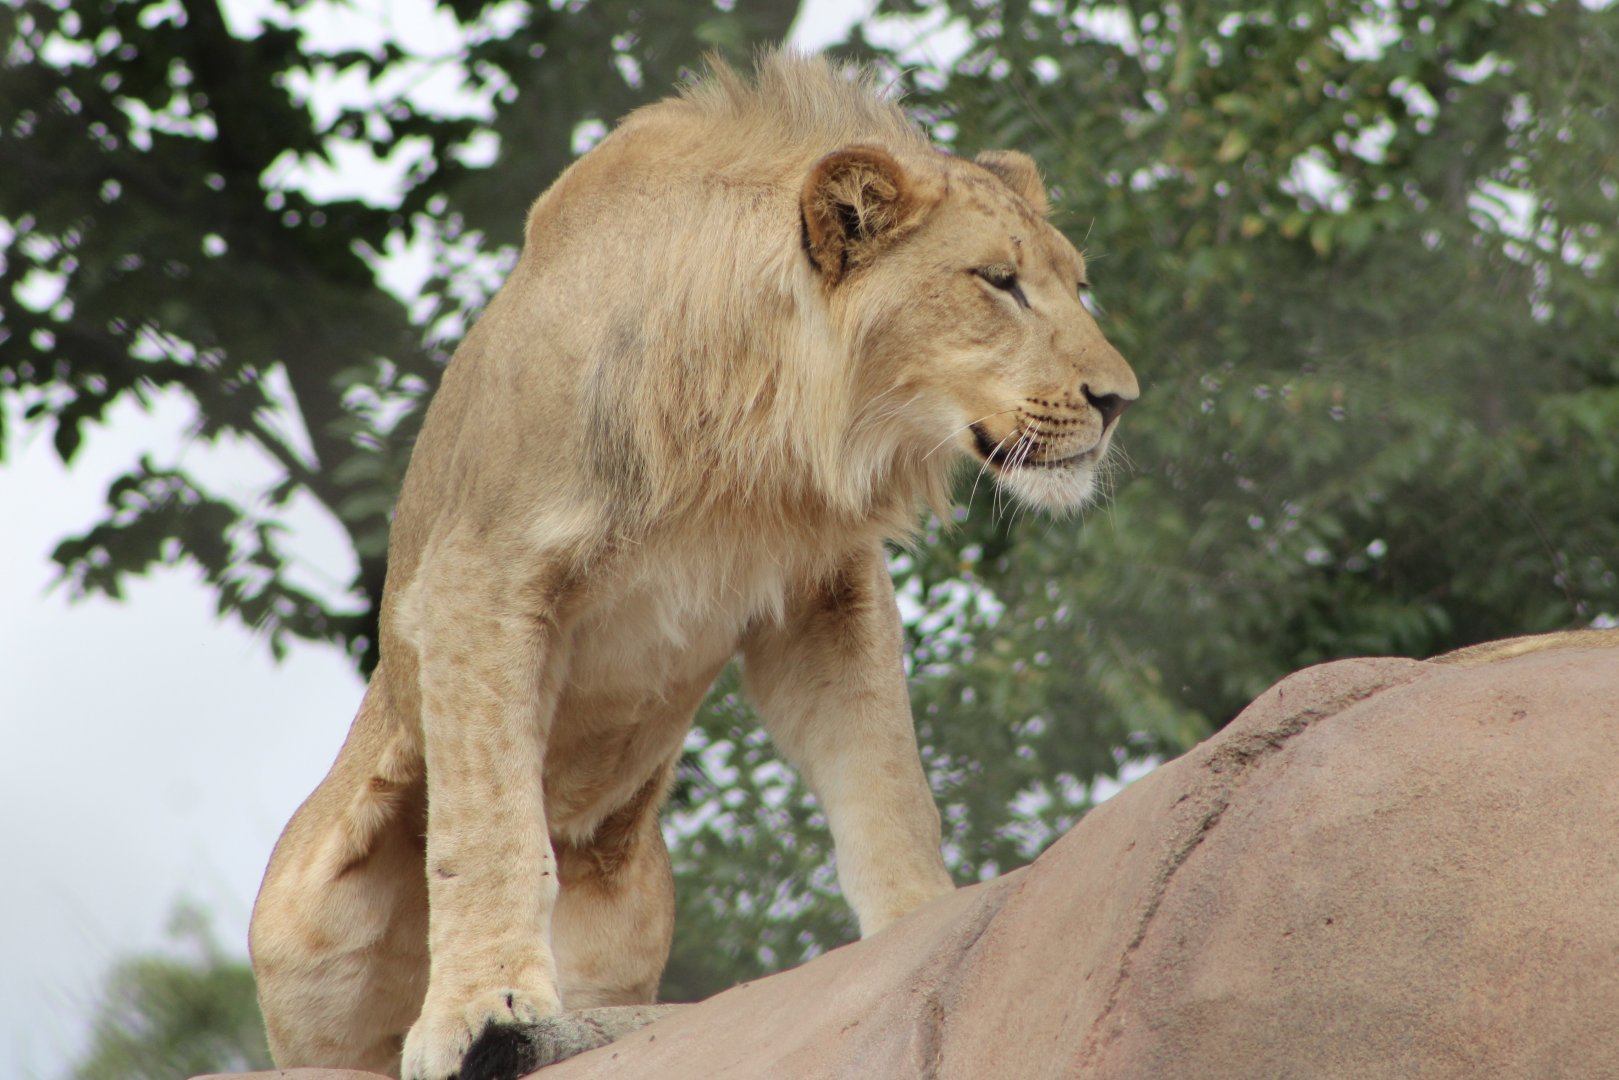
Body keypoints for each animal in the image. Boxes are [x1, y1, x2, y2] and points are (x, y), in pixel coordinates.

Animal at [250, 52, 1138, 1080]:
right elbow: (490, 822)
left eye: (1078, 285)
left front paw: (924, 930)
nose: (1118, 399)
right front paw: (480, 1005)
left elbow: (885, 775)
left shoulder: (825, 594)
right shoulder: (480, 573)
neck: (754, 431)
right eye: (998, 283)